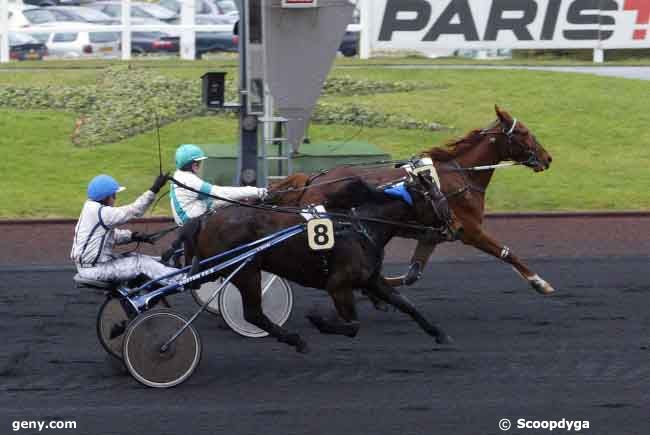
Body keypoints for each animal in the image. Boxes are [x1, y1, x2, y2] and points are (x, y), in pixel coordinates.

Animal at [187, 174, 450, 354]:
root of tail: (207, 220)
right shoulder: (338, 285)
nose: (450, 224)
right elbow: (353, 325)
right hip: (247, 272)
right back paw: (296, 340)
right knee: (254, 314)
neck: (361, 226)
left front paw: (439, 333)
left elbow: (406, 304)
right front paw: (318, 319)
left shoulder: (371, 279)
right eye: (438, 197)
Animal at [268, 106, 552, 296]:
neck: (461, 175)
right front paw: (540, 282)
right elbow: (506, 252)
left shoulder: (432, 236)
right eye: (524, 132)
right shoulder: (470, 231)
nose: (547, 158)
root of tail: (313, 179)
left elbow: (411, 275)